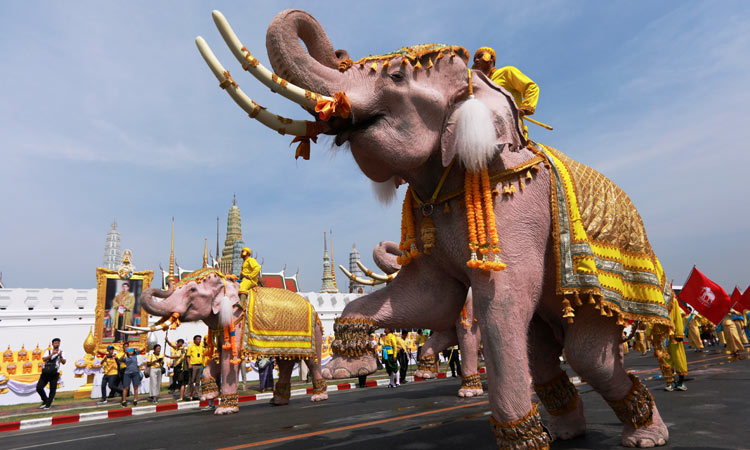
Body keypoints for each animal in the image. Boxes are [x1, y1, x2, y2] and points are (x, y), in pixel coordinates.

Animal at [197, 8, 672, 448]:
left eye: (397, 75)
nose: (340, 53)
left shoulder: (519, 206)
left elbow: (499, 306)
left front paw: (515, 435)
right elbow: (431, 296)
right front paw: (351, 366)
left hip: (613, 293)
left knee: (588, 355)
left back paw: (645, 435)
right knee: (543, 351)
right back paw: (567, 431)